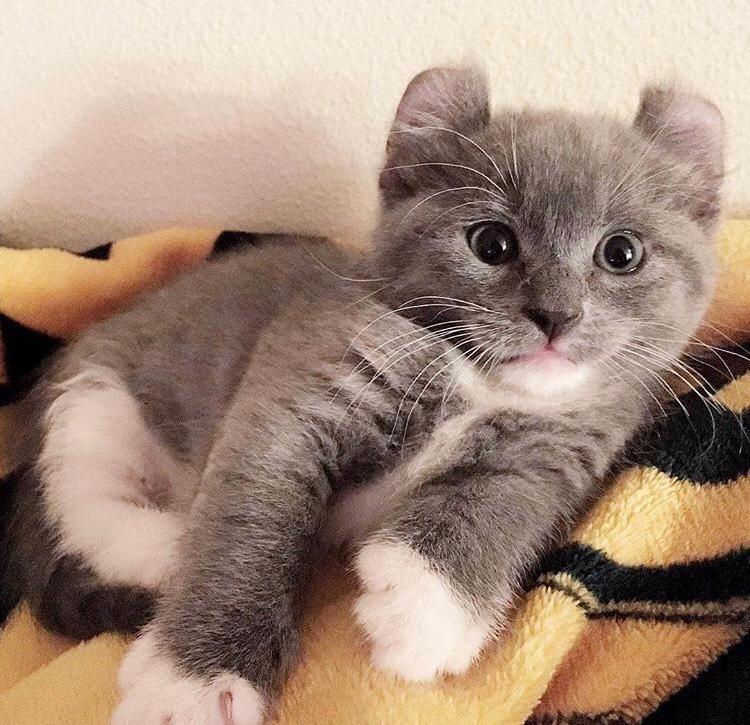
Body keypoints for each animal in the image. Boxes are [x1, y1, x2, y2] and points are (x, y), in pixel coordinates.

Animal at [0, 66, 723, 724]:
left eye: (621, 253)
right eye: (492, 242)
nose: (557, 315)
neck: (478, 382)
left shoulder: (564, 445)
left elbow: (505, 500)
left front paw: (427, 605)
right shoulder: (299, 388)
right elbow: (247, 519)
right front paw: (198, 683)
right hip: (96, 400)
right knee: (84, 500)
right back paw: (161, 546)